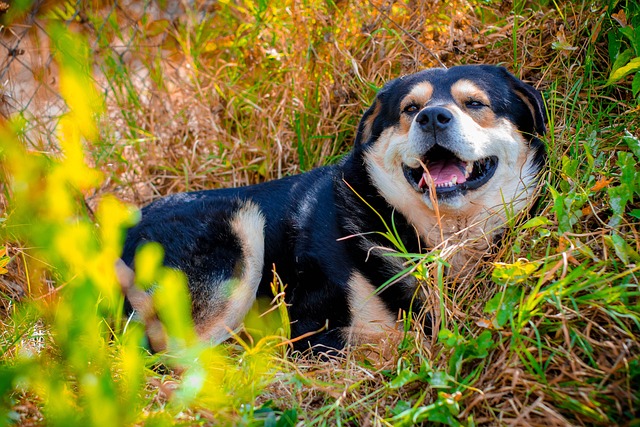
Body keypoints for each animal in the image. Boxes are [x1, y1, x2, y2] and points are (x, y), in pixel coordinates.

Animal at [117, 64, 548, 354]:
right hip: (239, 235)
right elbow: (390, 339)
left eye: (474, 103)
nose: (432, 118)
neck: (442, 234)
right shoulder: (317, 330)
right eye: (410, 109)